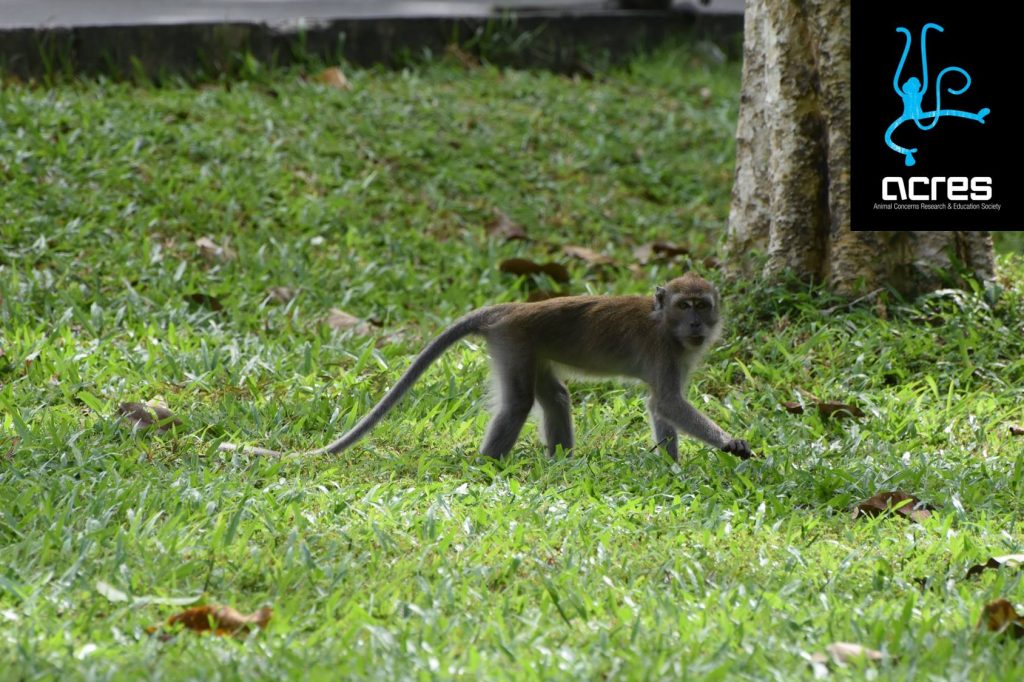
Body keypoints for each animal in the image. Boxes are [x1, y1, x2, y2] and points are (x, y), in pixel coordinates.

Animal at [218, 273, 753, 461]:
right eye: (684, 306)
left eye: (702, 305)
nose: (697, 324)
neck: (666, 326)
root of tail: (507, 311)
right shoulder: (664, 349)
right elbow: (666, 401)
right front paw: (729, 444)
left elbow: (663, 407)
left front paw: (670, 464)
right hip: (515, 343)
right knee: (517, 403)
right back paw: (489, 465)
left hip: (528, 347)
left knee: (552, 396)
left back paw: (559, 460)